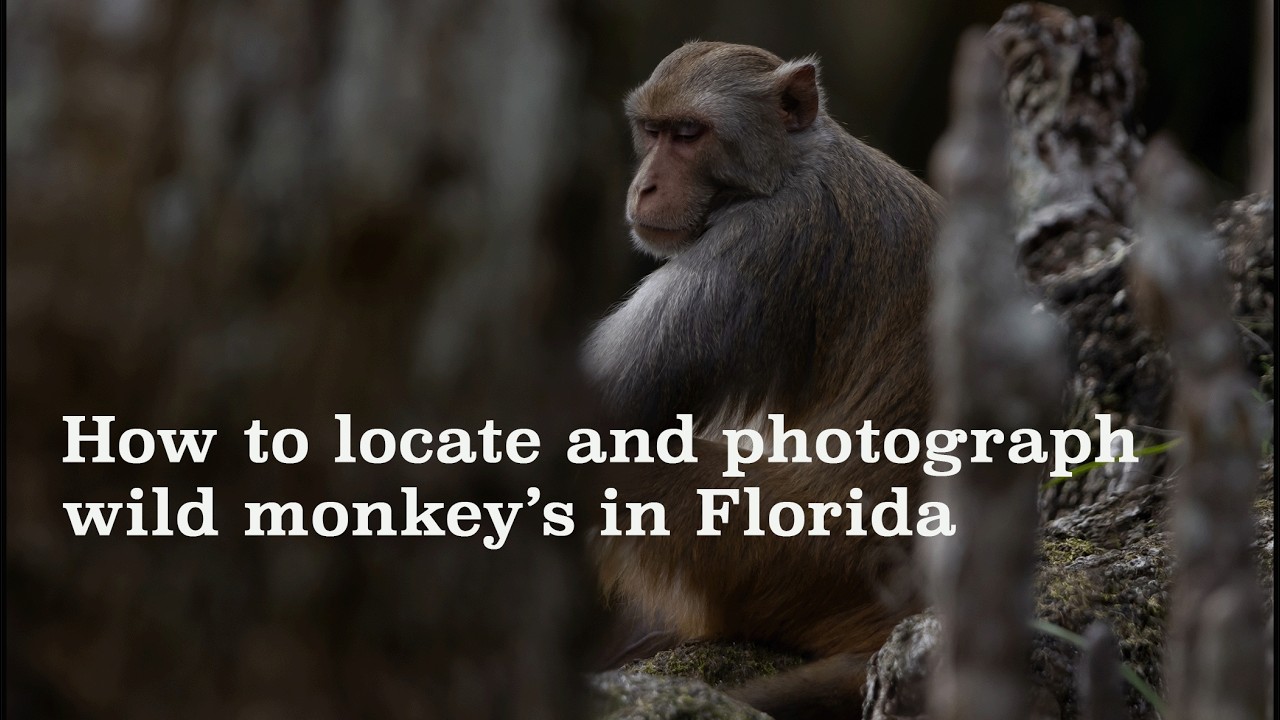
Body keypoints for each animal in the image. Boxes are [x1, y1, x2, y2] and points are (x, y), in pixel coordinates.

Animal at [584, 42, 943, 718]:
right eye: (652, 131)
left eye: (689, 134)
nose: (644, 185)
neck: (789, 166)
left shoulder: (756, 243)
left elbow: (601, 413)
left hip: (782, 558)